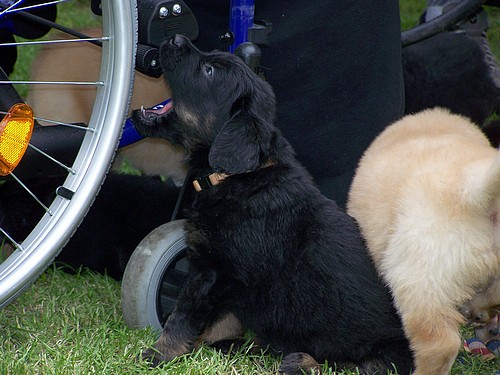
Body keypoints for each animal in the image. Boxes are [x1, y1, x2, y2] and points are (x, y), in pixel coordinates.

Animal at [132, 33, 414, 374]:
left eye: (209, 71)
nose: (176, 37)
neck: (237, 175)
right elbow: (220, 319)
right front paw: (208, 346)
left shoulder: (215, 271)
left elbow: (183, 315)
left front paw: (159, 354)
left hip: (384, 352)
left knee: (354, 366)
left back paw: (299, 361)